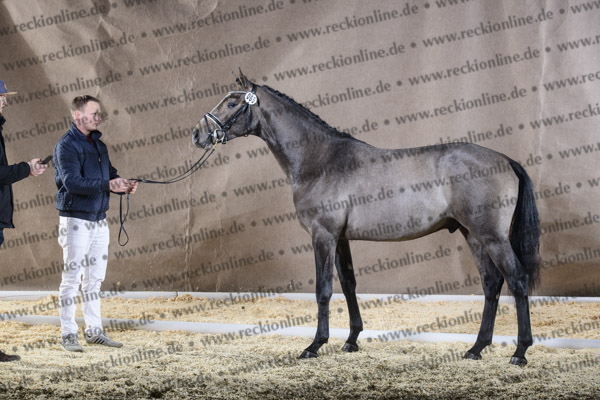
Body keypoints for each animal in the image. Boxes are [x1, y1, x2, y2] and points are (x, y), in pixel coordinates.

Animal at [192, 71, 540, 366]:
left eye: (232, 102)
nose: (197, 134)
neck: (319, 160)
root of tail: (506, 160)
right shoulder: (341, 238)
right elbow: (348, 284)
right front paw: (351, 340)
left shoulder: (323, 235)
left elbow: (323, 289)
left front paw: (314, 345)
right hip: (473, 234)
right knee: (492, 283)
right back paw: (476, 348)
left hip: (492, 237)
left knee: (517, 280)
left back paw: (520, 352)